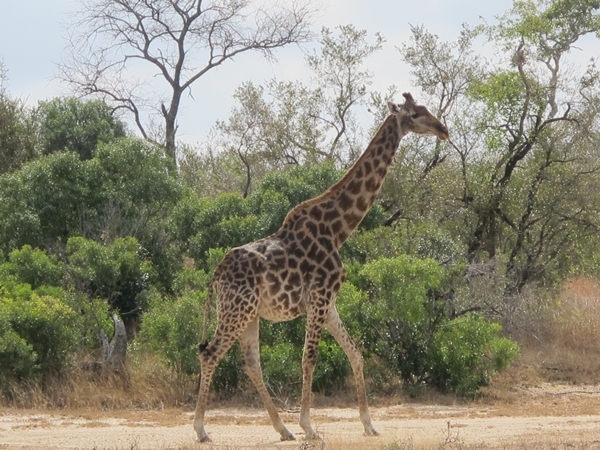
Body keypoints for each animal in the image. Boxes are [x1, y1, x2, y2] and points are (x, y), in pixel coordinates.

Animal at [193, 92, 450, 442]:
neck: (338, 230)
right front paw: (309, 426)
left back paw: (282, 429)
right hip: (237, 310)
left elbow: (355, 352)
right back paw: (202, 429)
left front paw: (369, 424)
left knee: (251, 363)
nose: (443, 130)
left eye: (425, 110)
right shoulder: (319, 297)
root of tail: (216, 275)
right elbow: (309, 357)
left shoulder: (328, 303)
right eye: (414, 115)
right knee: (210, 353)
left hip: (248, 314)